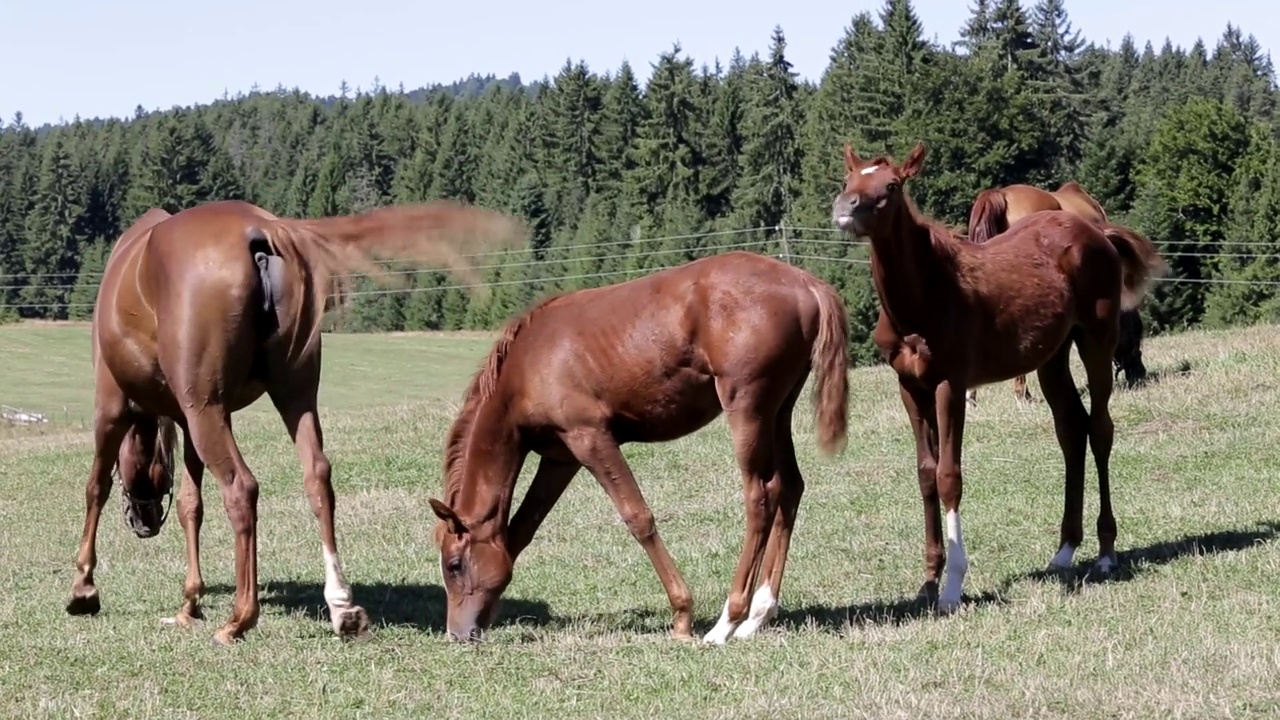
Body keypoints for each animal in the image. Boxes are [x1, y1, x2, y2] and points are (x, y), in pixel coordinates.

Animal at [63, 197, 524, 645]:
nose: (142, 523)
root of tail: (264, 231)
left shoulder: (115, 408)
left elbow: (96, 487)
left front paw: (83, 588)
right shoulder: (188, 420)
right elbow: (190, 506)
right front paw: (189, 603)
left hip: (212, 412)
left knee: (241, 489)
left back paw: (240, 619)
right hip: (292, 396)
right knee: (317, 478)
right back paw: (342, 607)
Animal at [427, 249, 849, 640]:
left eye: (454, 565)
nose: (458, 633)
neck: (526, 365)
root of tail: (805, 283)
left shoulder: (590, 439)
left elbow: (638, 518)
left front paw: (682, 615)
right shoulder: (560, 458)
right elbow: (522, 529)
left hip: (747, 409)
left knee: (760, 497)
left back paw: (728, 621)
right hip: (778, 412)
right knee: (789, 487)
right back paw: (758, 615)